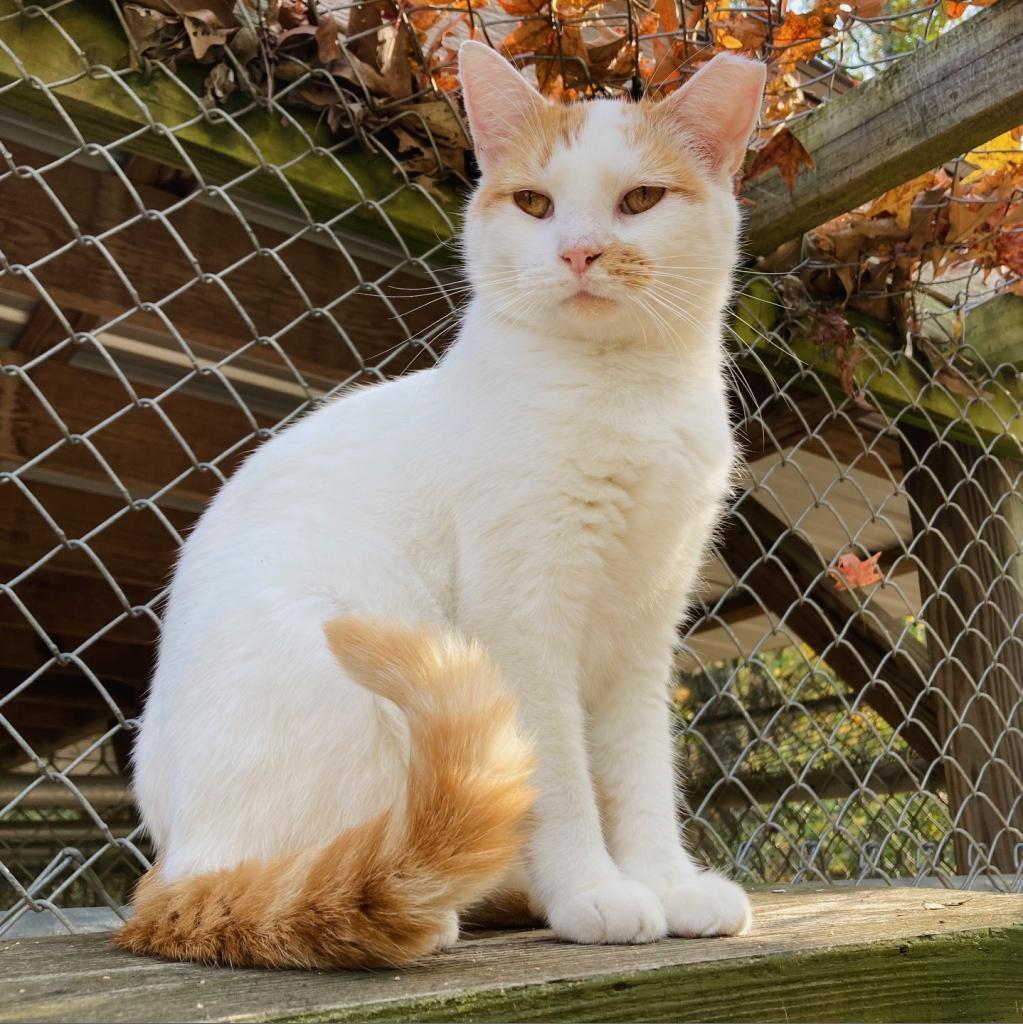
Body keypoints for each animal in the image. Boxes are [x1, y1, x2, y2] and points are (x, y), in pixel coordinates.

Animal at [116, 41, 765, 966]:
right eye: (533, 203)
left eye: (640, 199)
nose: (579, 252)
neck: (622, 394)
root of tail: (162, 878)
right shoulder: (520, 622)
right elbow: (559, 776)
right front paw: (594, 891)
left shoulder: (644, 627)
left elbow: (640, 771)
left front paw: (666, 884)